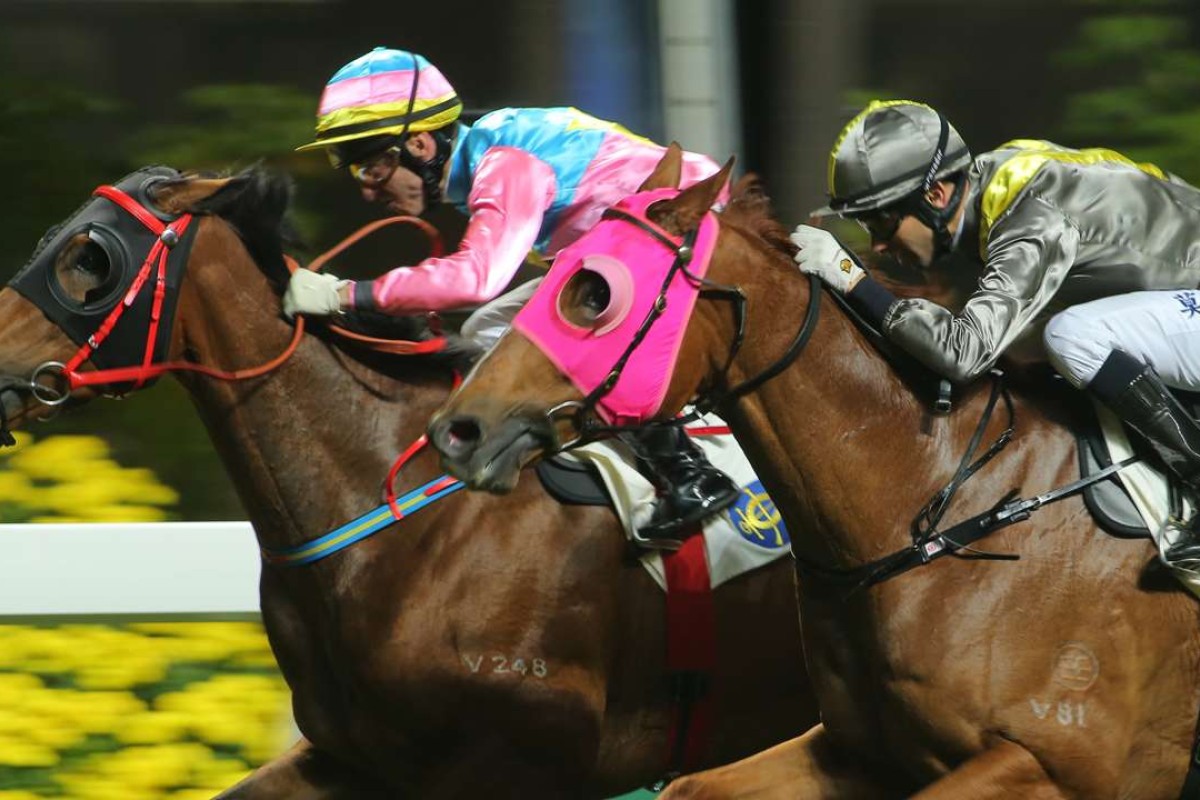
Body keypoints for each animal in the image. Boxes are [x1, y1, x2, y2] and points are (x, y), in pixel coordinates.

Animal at [434, 146, 1200, 796]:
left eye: (594, 294)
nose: (458, 430)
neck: (946, 502)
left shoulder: (1058, 765)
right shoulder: (857, 756)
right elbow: (692, 784)